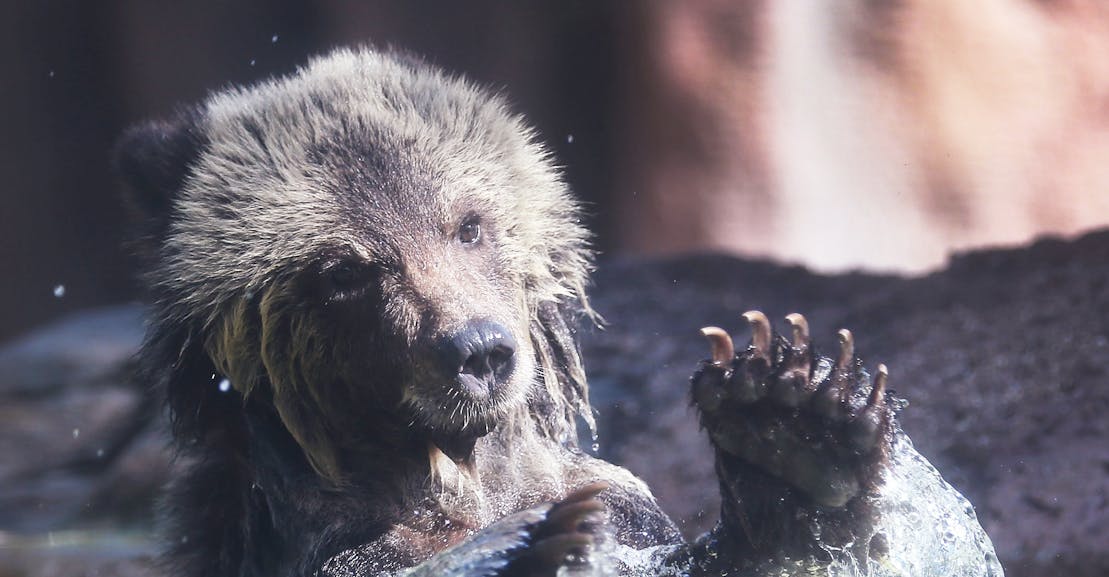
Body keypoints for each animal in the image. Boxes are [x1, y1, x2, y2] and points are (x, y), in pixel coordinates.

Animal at [115, 47, 1001, 576]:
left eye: (468, 223)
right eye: (345, 270)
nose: (477, 350)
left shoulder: (627, 507)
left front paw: (791, 421)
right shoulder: (323, 548)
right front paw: (525, 542)